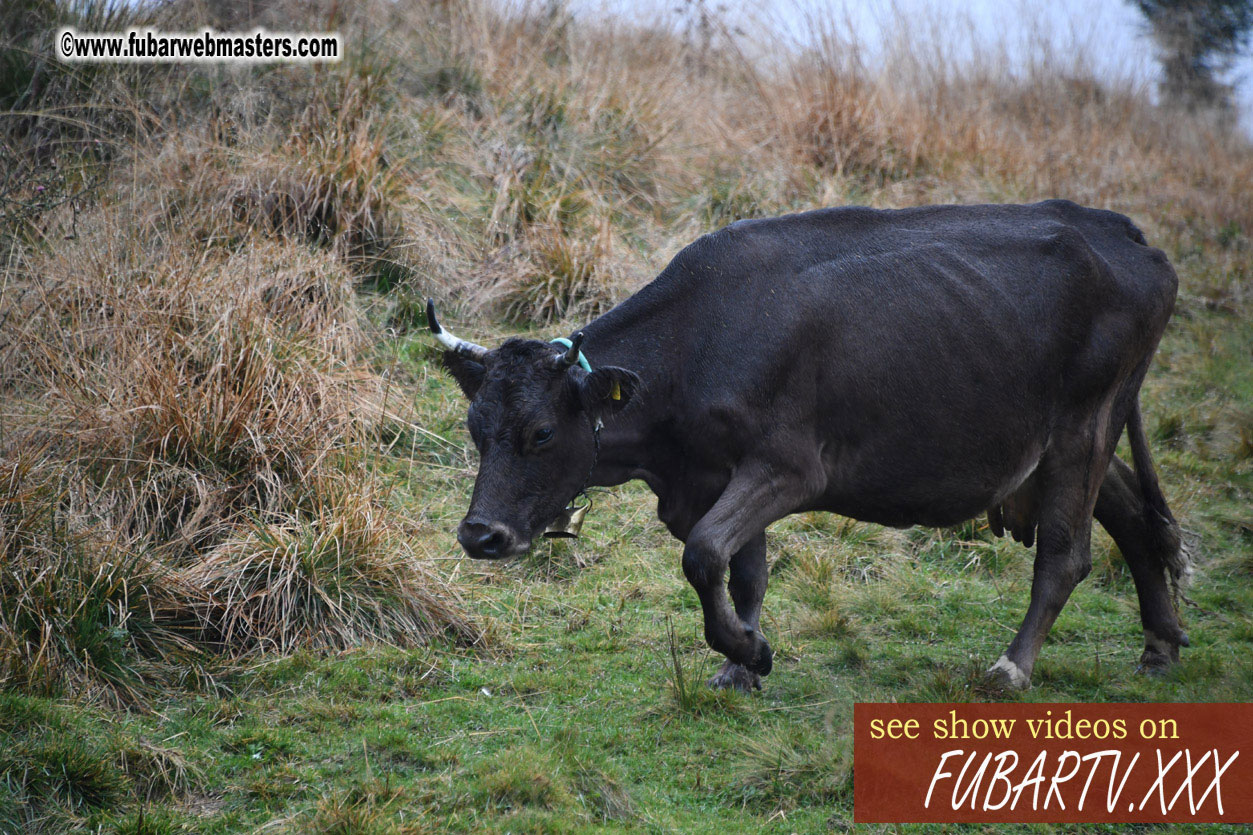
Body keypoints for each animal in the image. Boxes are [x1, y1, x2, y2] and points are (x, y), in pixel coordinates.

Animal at [436, 200, 1187, 687]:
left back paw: (1012, 667)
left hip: (1082, 429)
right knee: (1133, 514)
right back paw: (1158, 644)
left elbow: (703, 553)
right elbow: (740, 567)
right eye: (475, 427)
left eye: (540, 432)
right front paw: (739, 661)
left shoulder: (787, 467)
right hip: (1067, 440)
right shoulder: (711, 475)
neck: (701, 337)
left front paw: (751, 652)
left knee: (1066, 554)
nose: (480, 535)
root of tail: (1119, 230)